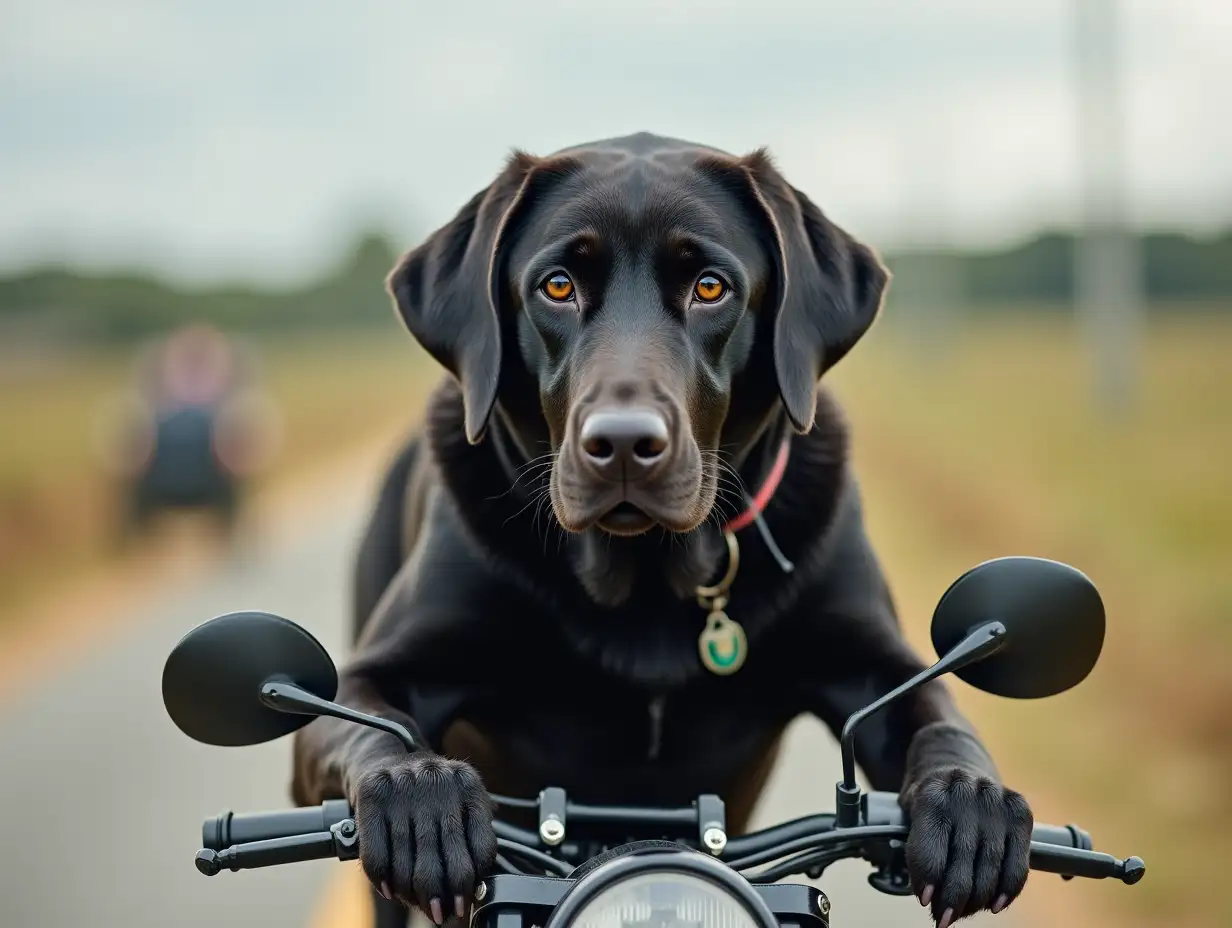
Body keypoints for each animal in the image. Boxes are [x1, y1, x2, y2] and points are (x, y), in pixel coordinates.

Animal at [290, 131, 1029, 926]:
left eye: (710, 287)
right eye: (557, 286)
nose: (621, 443)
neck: (645, 576)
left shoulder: (875, 665)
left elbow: (941, 720)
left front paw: (970, 805)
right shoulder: (368, 676)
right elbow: (369, 729)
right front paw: (423, 796)